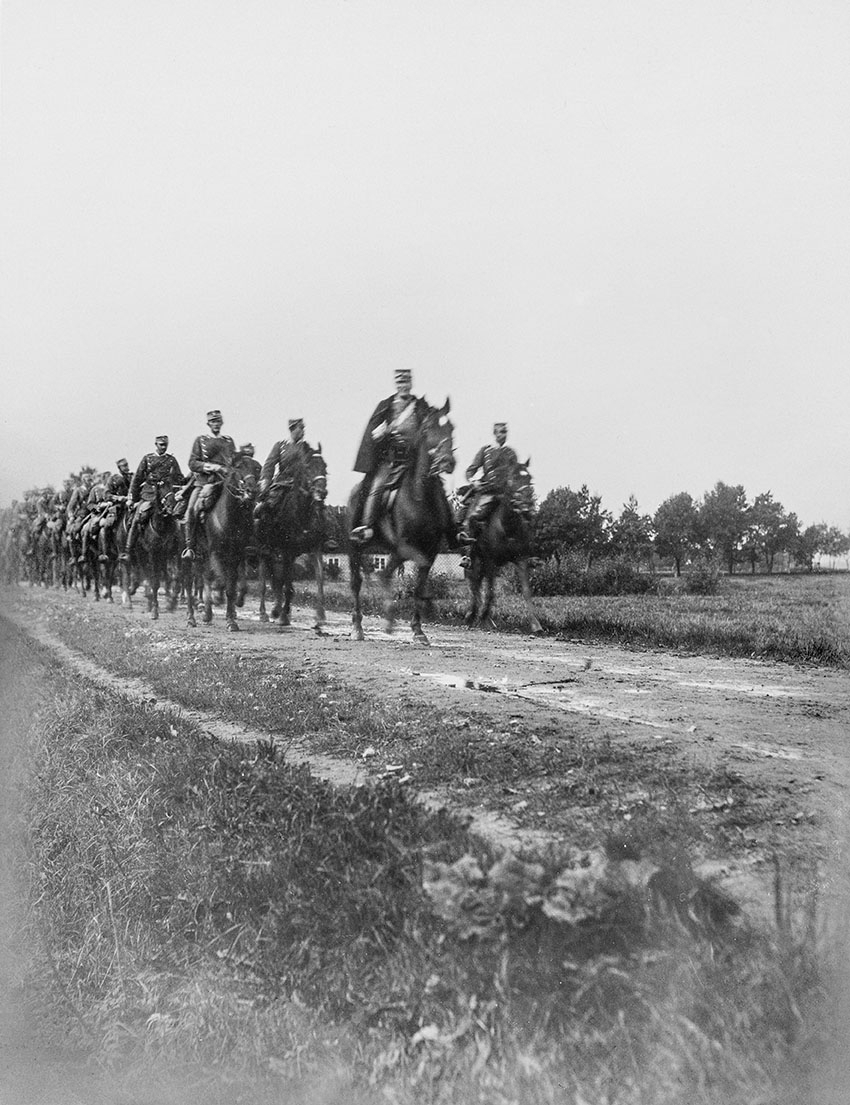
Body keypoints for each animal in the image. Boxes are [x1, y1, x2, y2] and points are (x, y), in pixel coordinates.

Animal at [120, 488, 180, 618]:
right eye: (160, 487)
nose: (171, 506)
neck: (161, 526)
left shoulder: (170, 555)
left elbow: (172, 577)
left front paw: (171, 603)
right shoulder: (152, 555)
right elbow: (154, 582)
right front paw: (154, 610)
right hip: (137, 554)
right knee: (136, 574)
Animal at [182, 455, 255, 632]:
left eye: (257, 467)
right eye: (239, 467)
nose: (251, 491)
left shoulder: (237, 554)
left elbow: (233, 586)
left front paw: (232, 618)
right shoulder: (216, 552)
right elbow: (221, 581)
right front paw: (217, 602)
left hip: (202, 556)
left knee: (204, 578)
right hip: (191, 556)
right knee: (189, 582)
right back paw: (192, 618)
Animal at [255, 442, 327, 632]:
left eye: (325, 466)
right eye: (308, 467)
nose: (321, 492)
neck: (303, 513)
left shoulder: (314, 550)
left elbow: (319, 580)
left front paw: (320, 617)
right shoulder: (287, 551)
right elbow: (287, 585)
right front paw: (283, 616)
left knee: (276, 580)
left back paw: (277, 608)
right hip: (265, 551)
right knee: (265, 581)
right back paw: (266, 613)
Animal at [347, 397, 455, 645]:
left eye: (451, 428)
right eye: (427, 429)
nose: (447, 462)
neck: (420, 497)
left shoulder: (429, 551)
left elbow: (417, 586)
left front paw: (418, 630)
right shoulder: (404, 547)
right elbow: (387, 575)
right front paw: (390, 619)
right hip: (355, 547)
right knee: (356, 583)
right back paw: (357, 627)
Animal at [459, 457, 539, 636]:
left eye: (529, 478)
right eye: (512, 479)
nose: (526, 506)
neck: (508, 526)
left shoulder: (521, 559)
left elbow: (526, 591)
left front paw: (536, 624)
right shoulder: (491, 560)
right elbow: (490, 590)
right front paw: (484, 618)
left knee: (477, 583)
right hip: (475, 560)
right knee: (473, 582)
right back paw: (471, 615)